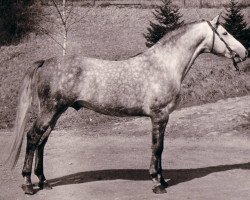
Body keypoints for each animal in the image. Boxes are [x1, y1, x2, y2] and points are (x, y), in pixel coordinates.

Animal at [6, 14, 248, 195]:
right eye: (224, 33)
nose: (245, 52)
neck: (164, 64)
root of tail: (46, 62)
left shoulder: (164, 117)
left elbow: (161, 148)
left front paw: (162, 180)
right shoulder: (159, 116)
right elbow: (156, 147)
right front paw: (157, 183)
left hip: (56, 112)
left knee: (42, 142)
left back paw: (43, 182)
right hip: (50, 110)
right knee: (33, 137)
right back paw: (28, 184)